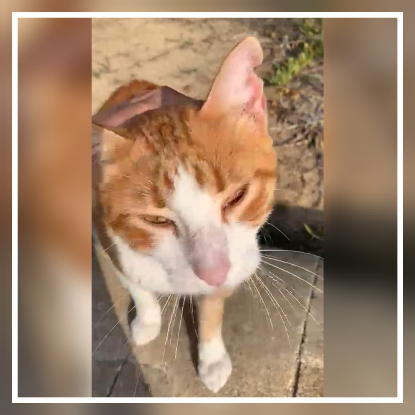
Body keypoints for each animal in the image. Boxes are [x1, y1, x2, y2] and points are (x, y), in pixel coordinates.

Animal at [93, 37, 277, 393]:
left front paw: (211, 358)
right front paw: (147, 320)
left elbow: (211, 309)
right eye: (156, 220)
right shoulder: (106, 240)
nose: (215, 273)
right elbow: (137, 284)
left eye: (237, 197)